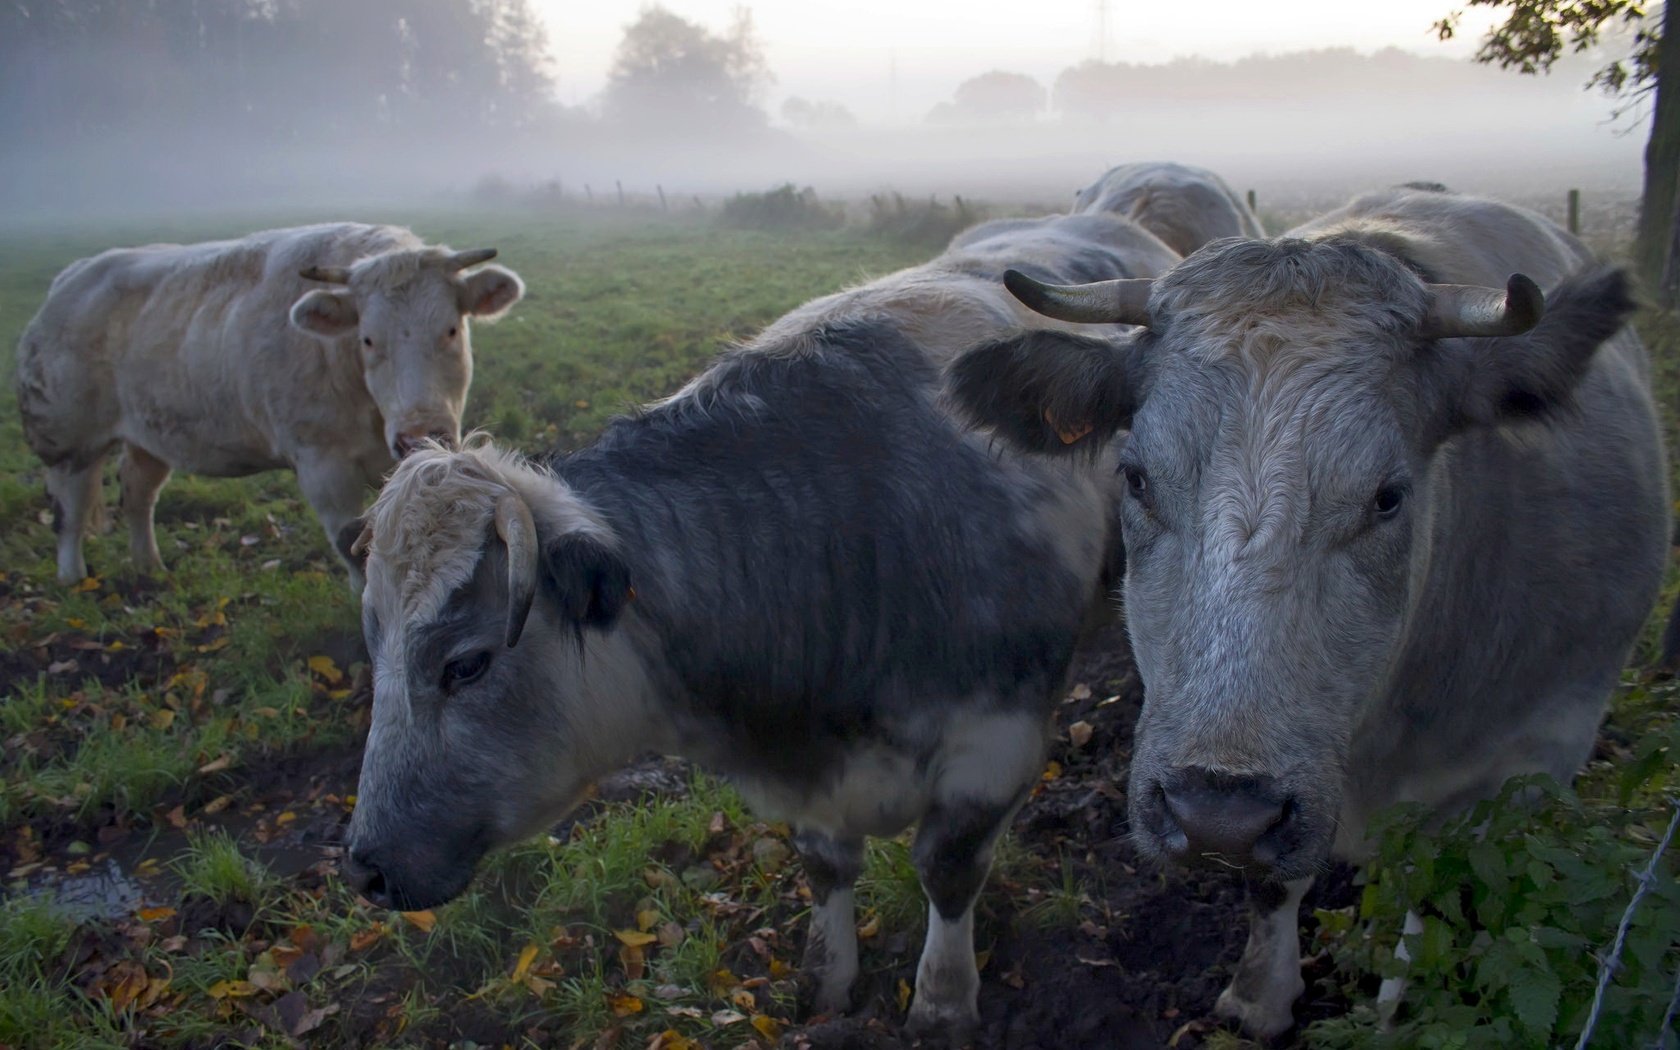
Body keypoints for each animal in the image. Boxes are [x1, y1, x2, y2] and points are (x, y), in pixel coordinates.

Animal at [14, 221, 524, 584]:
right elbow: (353, 547)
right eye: (367, 339)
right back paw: (73, 578)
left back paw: (148, 566)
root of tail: (71, 277)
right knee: (70, 509)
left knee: (138, 492)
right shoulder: (322, 467)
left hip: (149, 434)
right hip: (67, 438)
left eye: (452, 329)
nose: (419, 433)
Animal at [947, 186, 1666, 1034]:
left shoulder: (1536, 756)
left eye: (1389, 497)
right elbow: (1270, 886)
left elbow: (1439, 892)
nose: (1216, 813)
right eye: (1136, 477)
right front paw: (1260, 995)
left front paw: (1393, 1015)